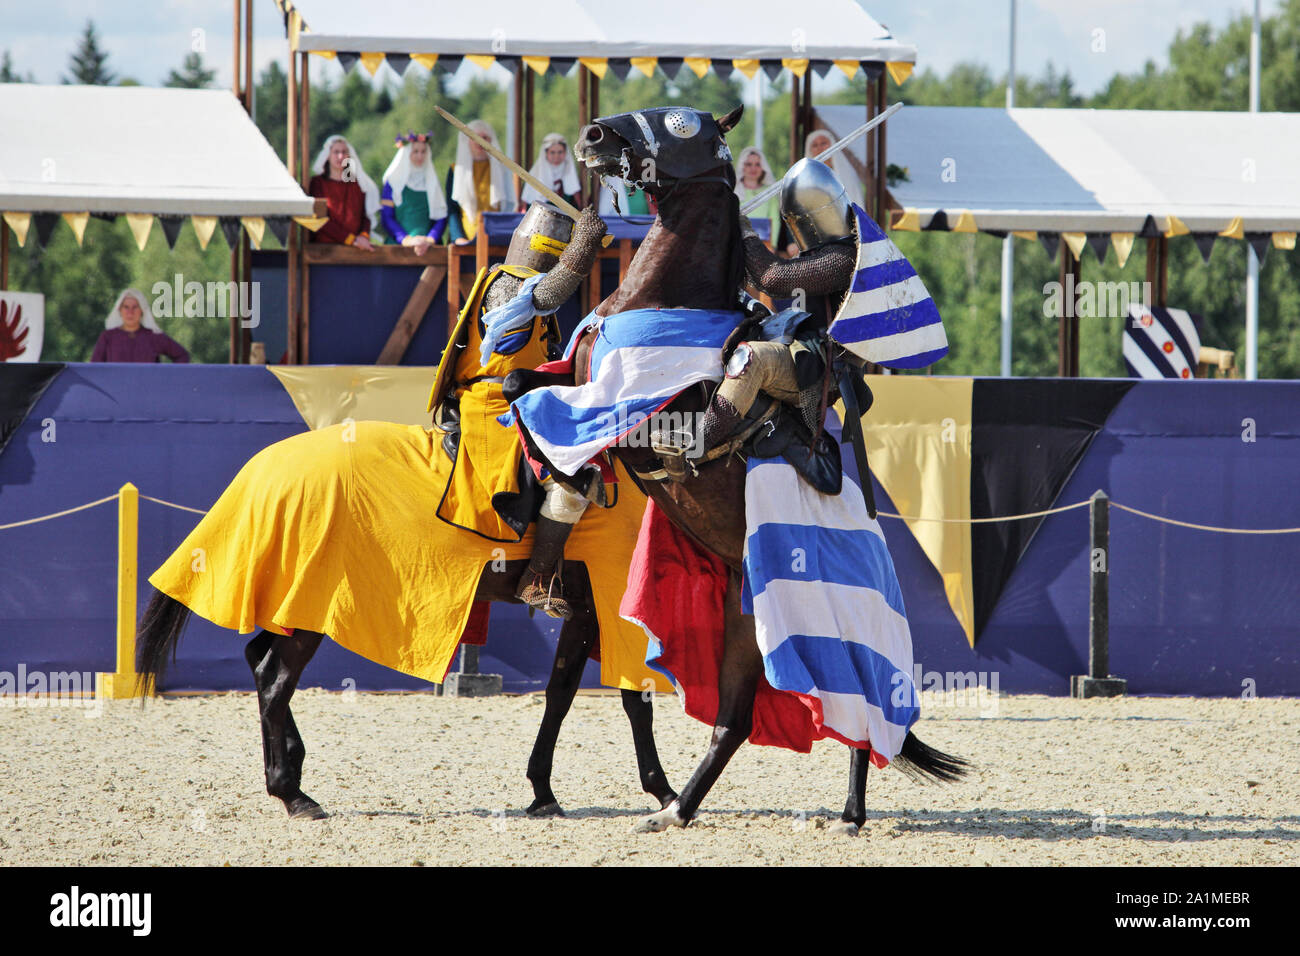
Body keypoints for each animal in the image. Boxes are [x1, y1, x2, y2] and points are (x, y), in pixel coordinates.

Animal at [504, 106, 967, 837]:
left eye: (681, 123)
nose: (595, 136)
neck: (661, 300)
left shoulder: (637, 415)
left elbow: (555, 413)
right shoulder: (578, 387)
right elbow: (522, 386)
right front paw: (561, 480)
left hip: (793, 629)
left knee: (835, 715)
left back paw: (823, 811)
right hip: (745, 623)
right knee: (748, 721)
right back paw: (691, 808)